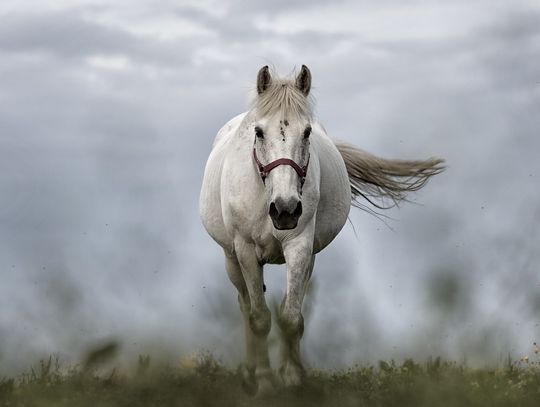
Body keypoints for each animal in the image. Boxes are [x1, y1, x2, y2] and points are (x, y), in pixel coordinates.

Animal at [198, 66, 442, 396]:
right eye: (259, 132)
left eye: (307, 132)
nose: (285, 209)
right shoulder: (246, 250)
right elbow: (259, 318)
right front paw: (264, 381)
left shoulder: (300, 247)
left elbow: (291, 317)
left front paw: (292, 378)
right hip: (231, 258)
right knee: (245, 305)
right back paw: (249, 374)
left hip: (307, 259)